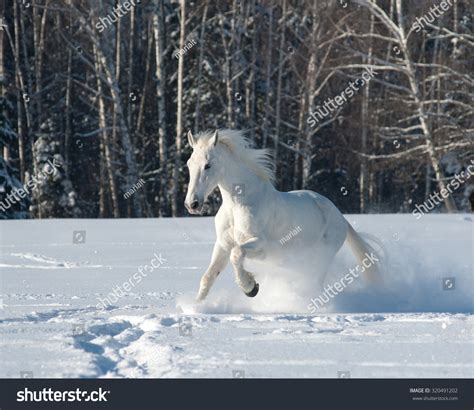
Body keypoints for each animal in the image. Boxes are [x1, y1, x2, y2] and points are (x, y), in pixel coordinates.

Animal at [183, 129, 380, 302]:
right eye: (189, 164)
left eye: (207, 165)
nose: (192, 204)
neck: (237, 206)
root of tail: (340, 216)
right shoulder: (223, 244)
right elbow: (208, 276)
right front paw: (195, 307)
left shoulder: (260, 245)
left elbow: (237, 254)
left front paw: (250, 288)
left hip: (322, 256)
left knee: (315, 282)